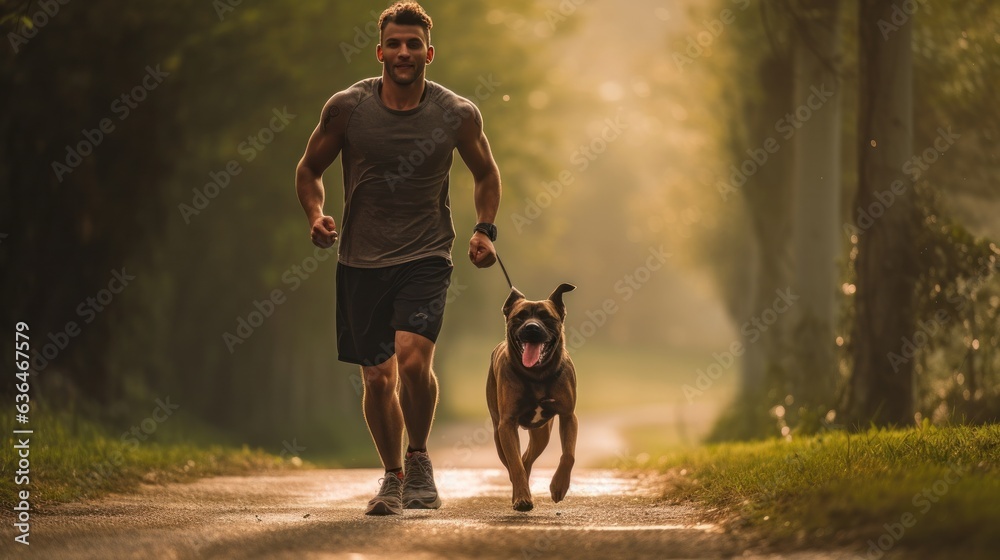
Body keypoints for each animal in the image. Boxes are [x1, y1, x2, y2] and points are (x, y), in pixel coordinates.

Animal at [486, 284, 580, 512]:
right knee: (516, 463)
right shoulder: (507, 424)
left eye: (546, 317)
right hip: (498, 433)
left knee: (527, 459)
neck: (537, 374)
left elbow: (569, 455)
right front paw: (521, 497)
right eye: (520, 316)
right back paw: (520, 492)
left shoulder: (568, 416)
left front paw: (558, 486)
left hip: (541, 434)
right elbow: (515, 464)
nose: (531, 328)